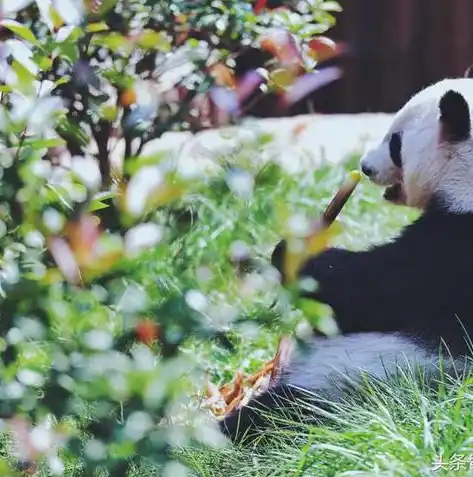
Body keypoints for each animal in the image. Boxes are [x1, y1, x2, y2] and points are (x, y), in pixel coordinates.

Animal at [220, 69, 473, 440]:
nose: (365, 167)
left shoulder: (452, 250)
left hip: (361, 381)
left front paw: (293, 253)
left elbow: (371, 290)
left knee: (277, 416)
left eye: (395, 142)